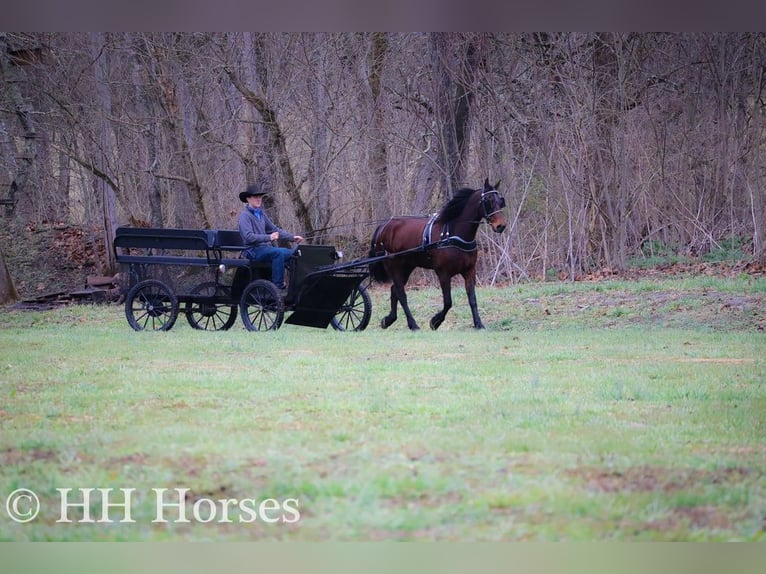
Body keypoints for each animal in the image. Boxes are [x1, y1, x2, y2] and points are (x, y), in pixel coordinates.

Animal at [368, 178, 507, 331]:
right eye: (488, 200)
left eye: (501, 201)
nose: (501, 226)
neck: (452, 234)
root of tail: (384, 226)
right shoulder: (443, 273)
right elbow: (448, 302)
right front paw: (435, 321)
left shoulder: (469, 271)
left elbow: (472, 299)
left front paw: (478, 324)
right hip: (395, 267)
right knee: (401, 294)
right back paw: (413, 324)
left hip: (407, 267)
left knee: (394, 291)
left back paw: (389, 320)